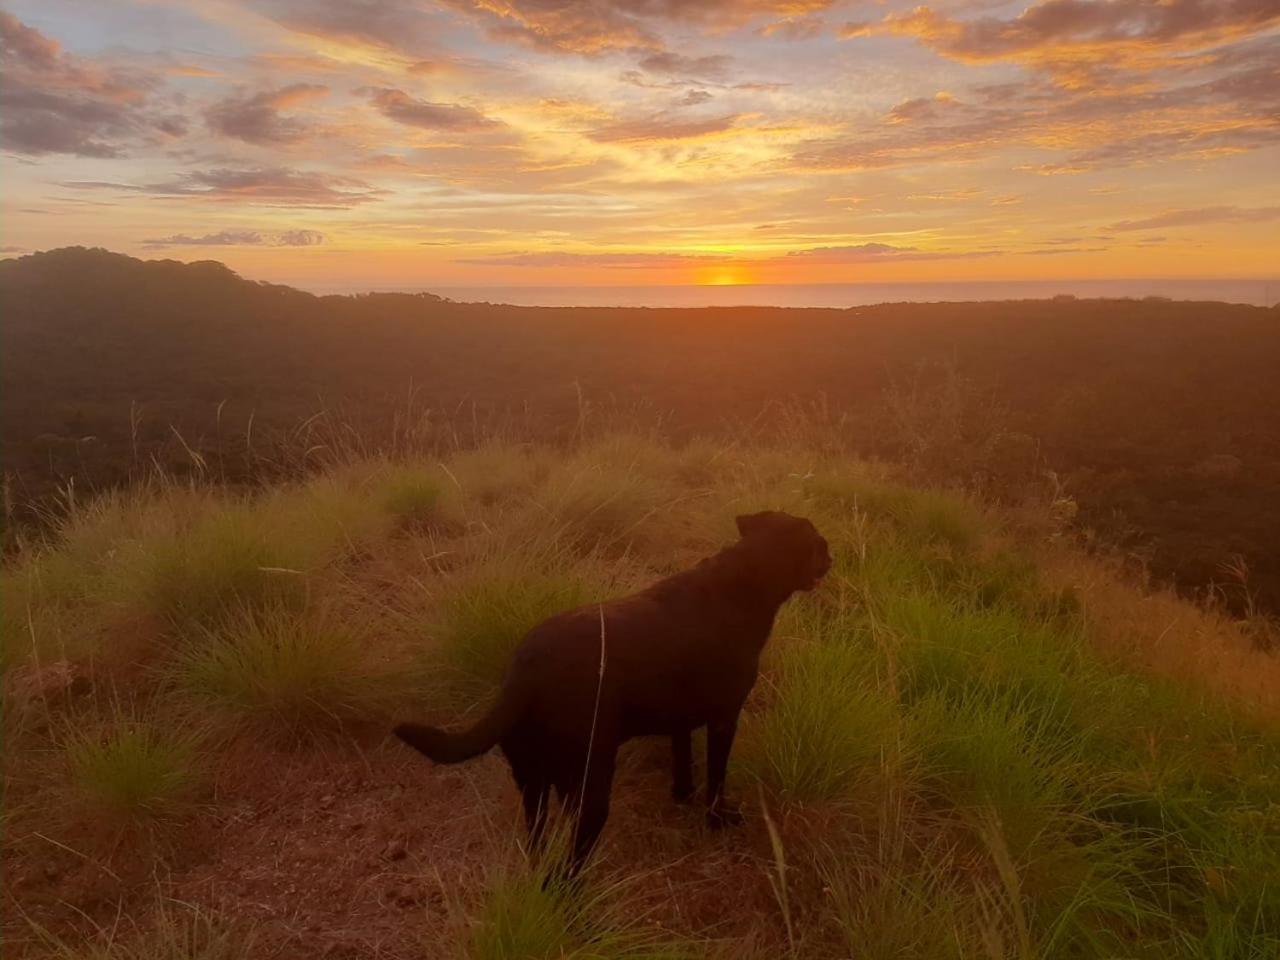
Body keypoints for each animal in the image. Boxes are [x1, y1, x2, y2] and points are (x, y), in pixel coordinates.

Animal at [394, 514, 829, 870]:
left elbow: (684, 766)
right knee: (566, 870)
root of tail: (523, 674)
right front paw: (717, 820)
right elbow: (717, 778)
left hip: (534, 788)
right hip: (588, 791)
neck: (743, 584)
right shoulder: (724, 719)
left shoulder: (680, 723)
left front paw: (683, 796)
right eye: (817, 542)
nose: (832, 553)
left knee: (538, 851)